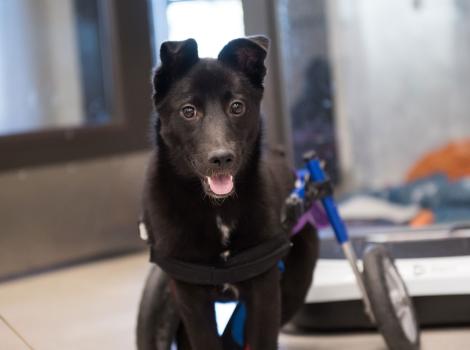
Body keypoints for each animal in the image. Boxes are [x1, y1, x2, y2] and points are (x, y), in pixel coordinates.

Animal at [142, 37, 320, 348]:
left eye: (237, 106)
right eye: (188, 111)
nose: (221, 157)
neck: (217, 209)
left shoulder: (264, 289)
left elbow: (261, 339)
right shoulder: (190, 296)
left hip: (296, 279)